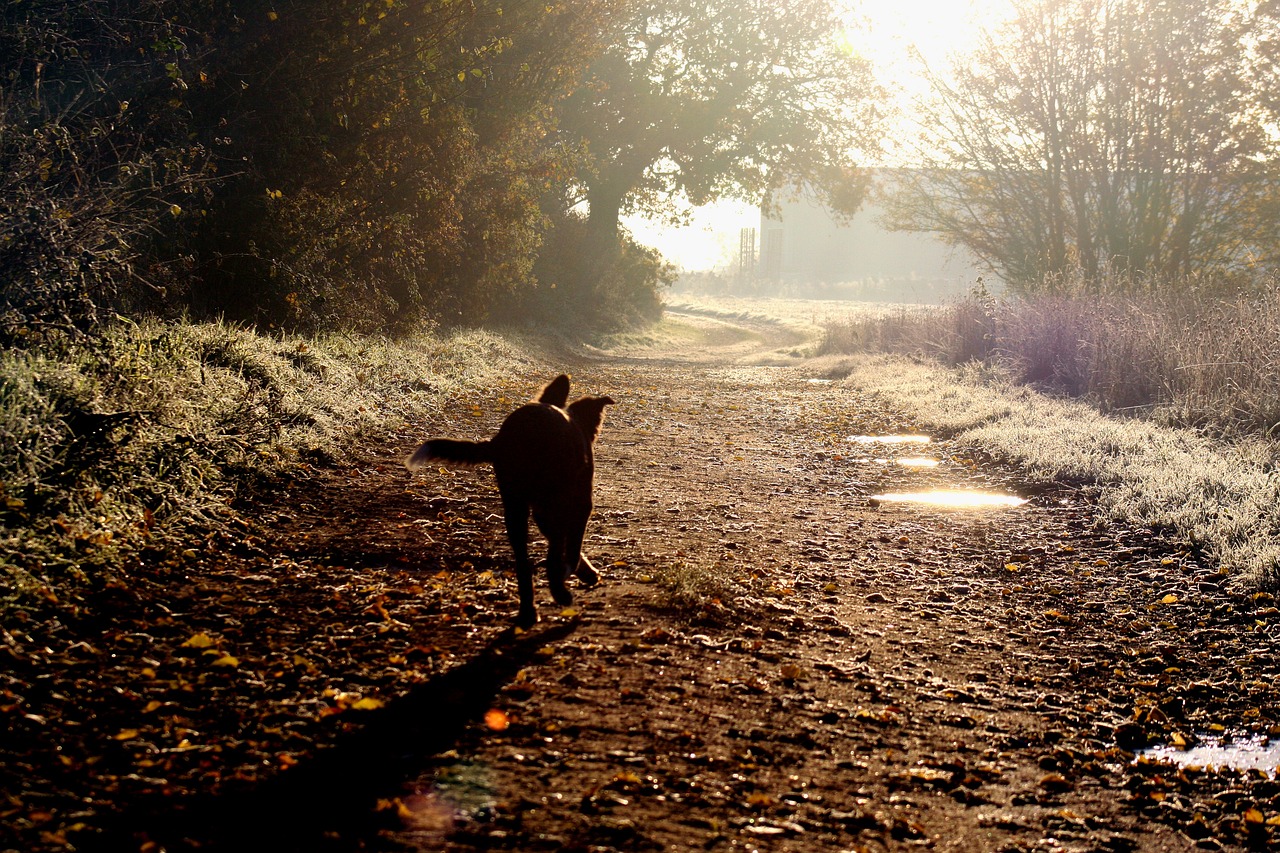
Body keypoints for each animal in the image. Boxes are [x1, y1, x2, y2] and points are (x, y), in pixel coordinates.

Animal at [404, 371, 614, 625]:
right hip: (550, 500)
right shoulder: (580, 504)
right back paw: (559, 592)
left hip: (515, 507)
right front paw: (576, 573)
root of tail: (510, 436)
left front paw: (587, 574)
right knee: (552, 551)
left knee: (523, 563)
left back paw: (528, 612)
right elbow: (571, 548)